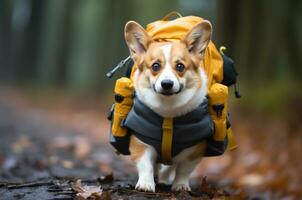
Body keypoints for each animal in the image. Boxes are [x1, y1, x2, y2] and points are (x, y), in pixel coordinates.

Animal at [124, 19, 211, 192]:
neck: (168, 110)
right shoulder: (140, 143)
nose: (167, 84)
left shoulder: (193, 151)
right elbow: (146, 165)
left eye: (180, 66)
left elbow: (183, 169)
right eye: (155, 66)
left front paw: (181, 185)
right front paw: (146, 184)